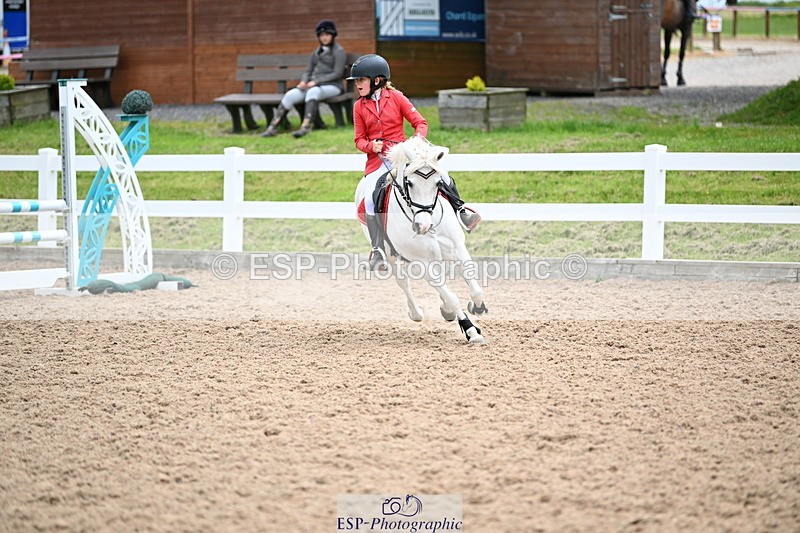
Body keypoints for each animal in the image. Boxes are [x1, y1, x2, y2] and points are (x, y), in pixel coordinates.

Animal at [354, 137, 488, 345]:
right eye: (409, 183)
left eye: (438, 183)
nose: (422, 226)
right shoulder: (422, 263)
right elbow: (452, 297)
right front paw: (471, 331)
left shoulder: (458, 248)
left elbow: (475, 290)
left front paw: (477, 307)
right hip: (392, 257)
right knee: (404, 283)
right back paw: (416, 312)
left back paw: (446, 311)